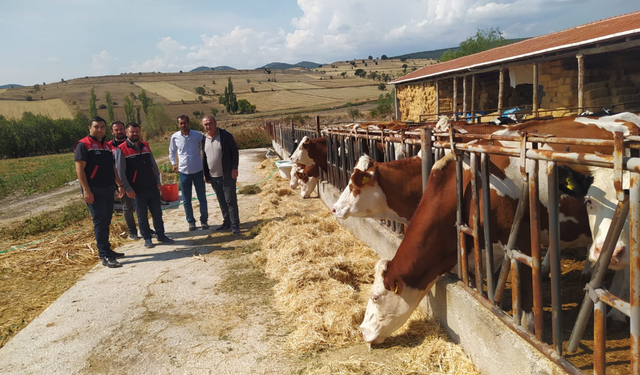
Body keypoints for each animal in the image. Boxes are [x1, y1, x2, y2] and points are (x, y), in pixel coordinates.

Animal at [360, 114, 640, 344]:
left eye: (375, 297)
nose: (363, 331)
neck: (469, 187)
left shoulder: (523, 242)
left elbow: (524, 307)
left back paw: (615, 312)